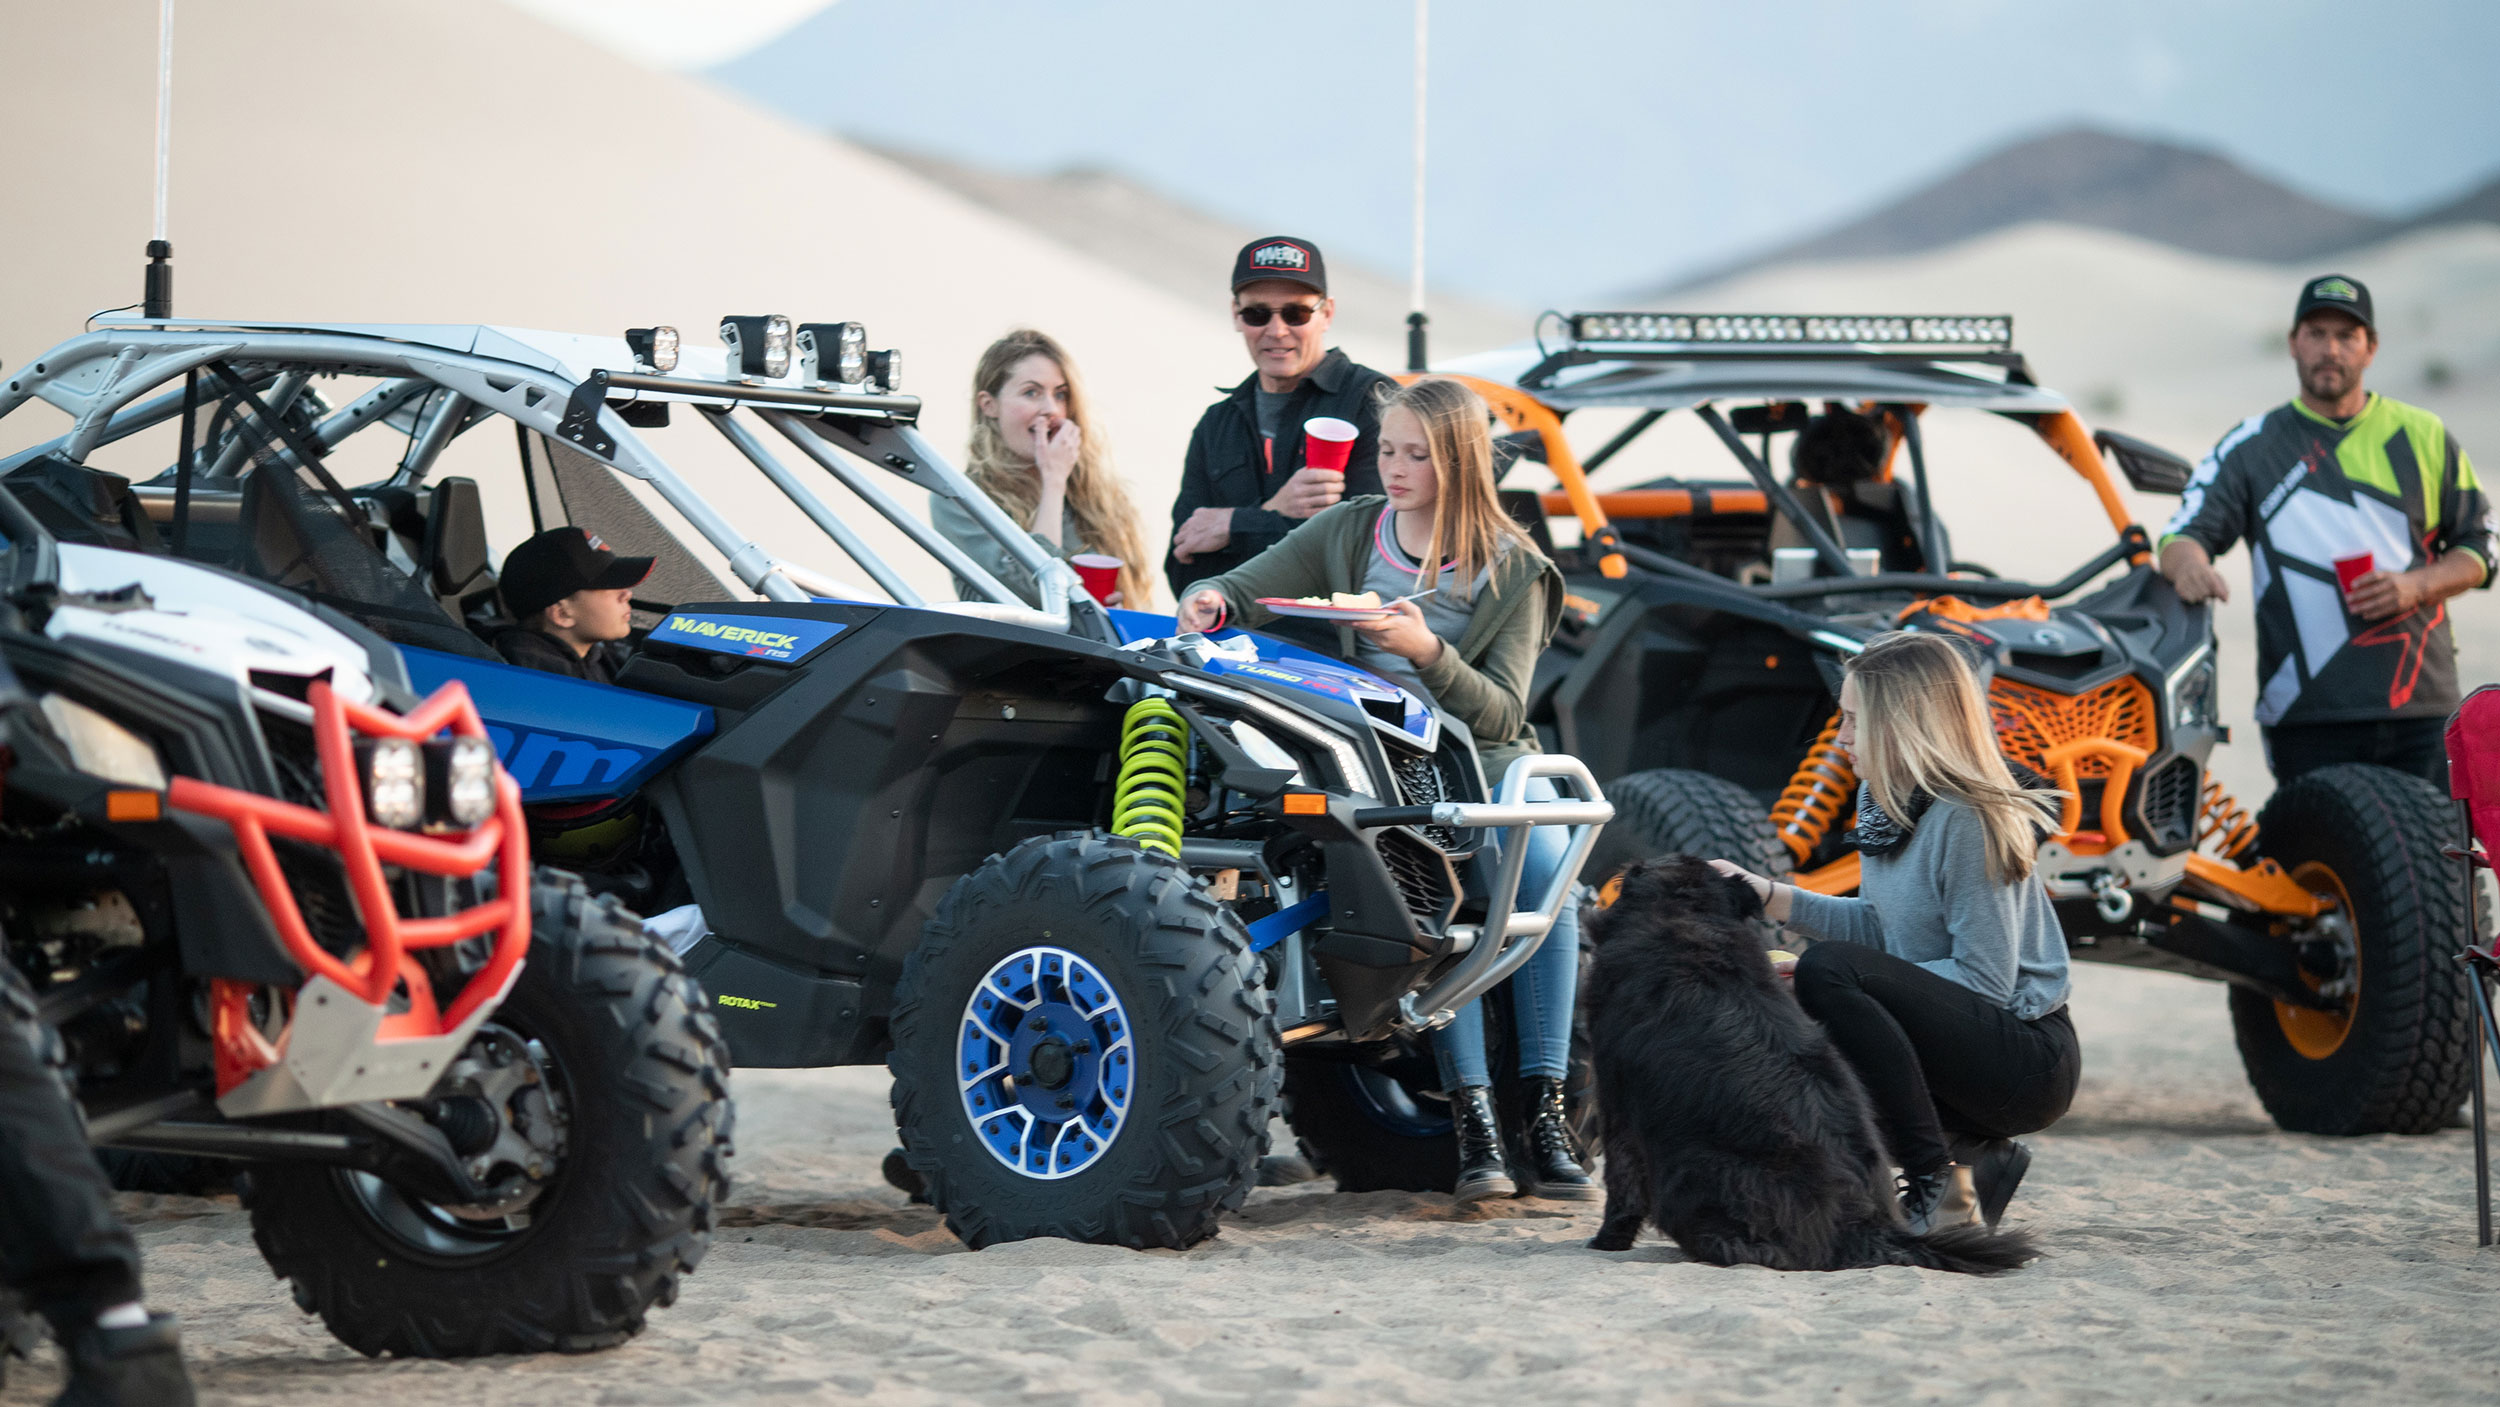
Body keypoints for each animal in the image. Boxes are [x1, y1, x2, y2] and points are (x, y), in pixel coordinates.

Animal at [1590, 859, 2040, 1279]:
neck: (1690, 912)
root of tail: (1868, 1221)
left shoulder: (1616, 1100)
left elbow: (1621, 1182)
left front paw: (1607, 1240)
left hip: (1690, 1170)